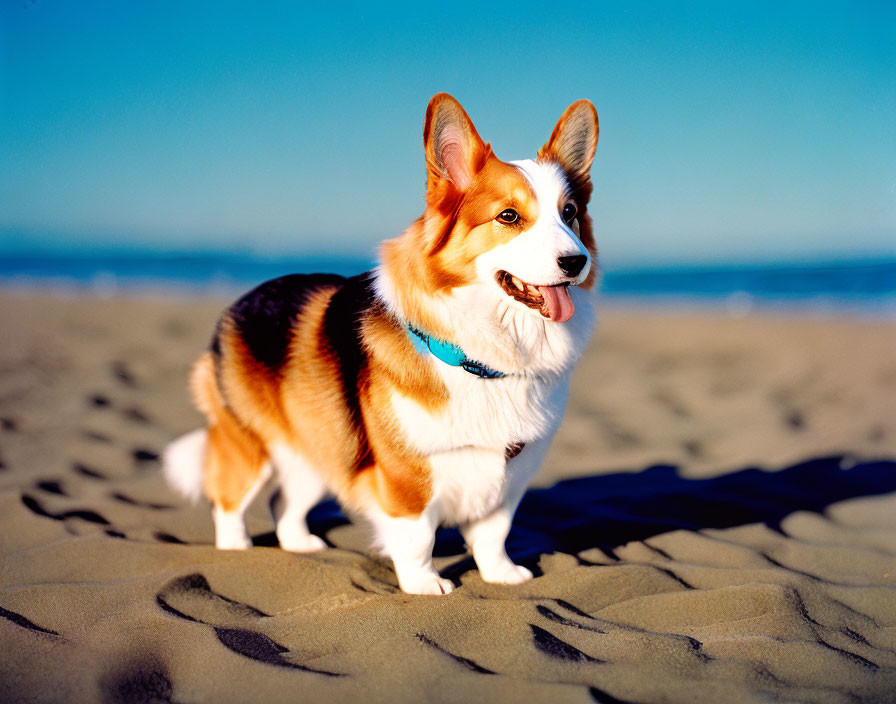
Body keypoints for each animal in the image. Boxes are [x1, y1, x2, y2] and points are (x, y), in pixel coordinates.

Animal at [164, 92, 600, 592]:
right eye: (508, 216)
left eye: (569, 214)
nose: (576, 261)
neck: (483, 358)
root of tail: (241, 301)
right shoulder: (407, 476)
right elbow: (418, 538)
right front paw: (426, 587)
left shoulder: (511, 476)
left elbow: (493, 533)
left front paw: (502, 575)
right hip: (253, 444)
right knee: (229, 499)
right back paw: (237, 549)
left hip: (321, 444)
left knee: (285, 502)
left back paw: (302, 545)